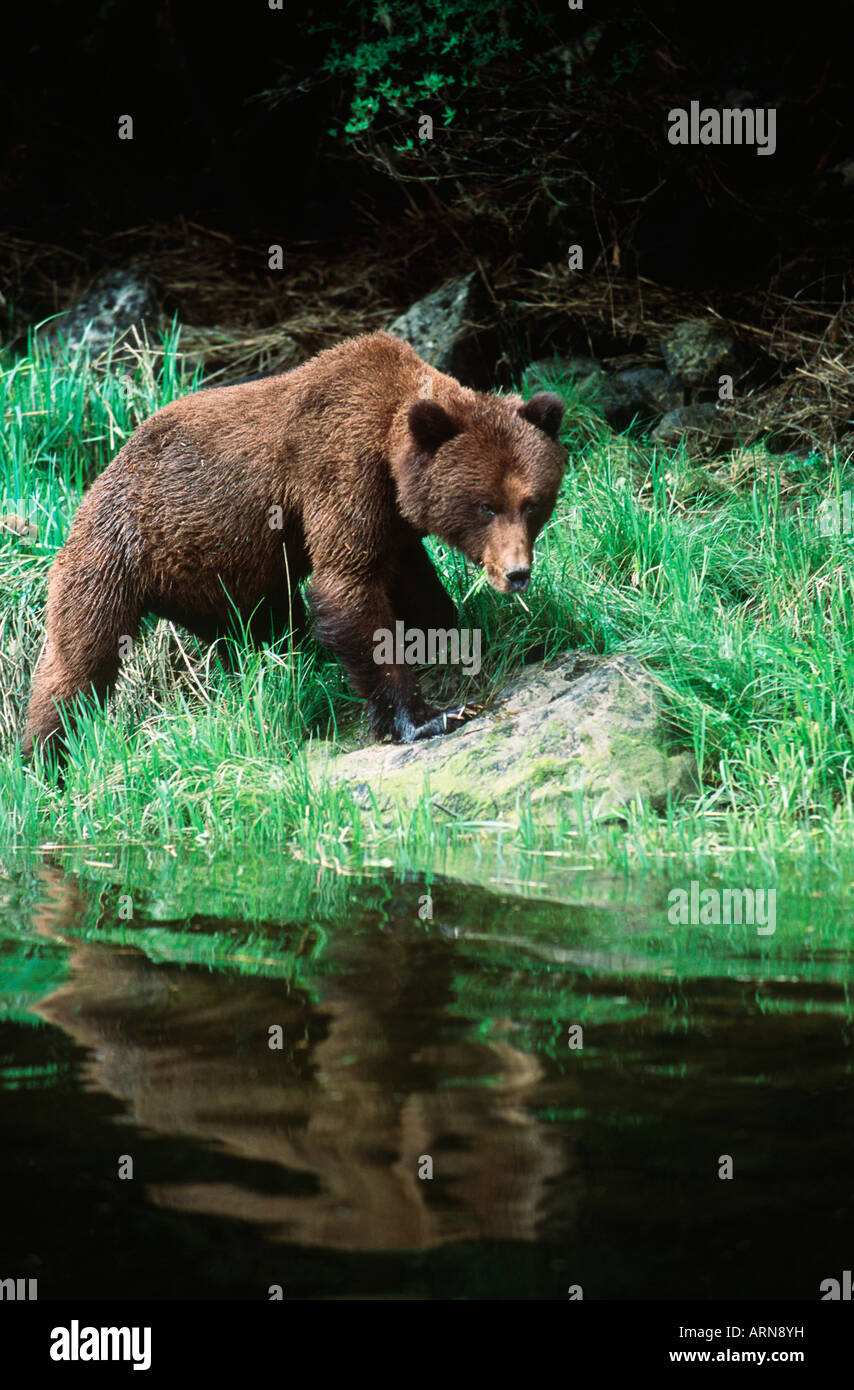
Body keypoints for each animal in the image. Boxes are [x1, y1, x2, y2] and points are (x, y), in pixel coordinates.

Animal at [23, 328, 564, 761]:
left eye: (532, 503)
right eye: (485, 506)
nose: (517, 573)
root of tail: (99, 477)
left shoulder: (393, 524)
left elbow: (416, 588)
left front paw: (453, 640)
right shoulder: (338, 473)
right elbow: (347, 590)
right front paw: (429, 716)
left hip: (213, 573)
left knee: (256, 629)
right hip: (117, 550)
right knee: (77, 663)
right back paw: (44, 760)